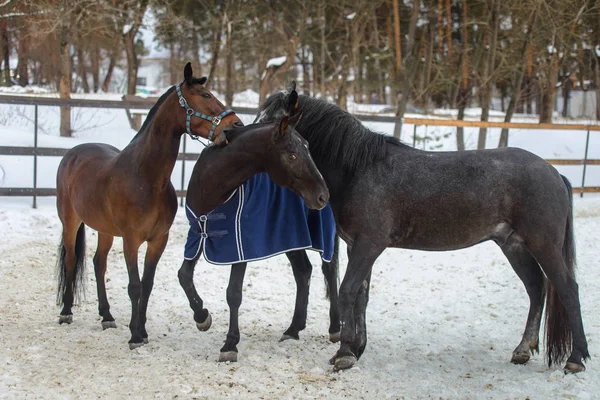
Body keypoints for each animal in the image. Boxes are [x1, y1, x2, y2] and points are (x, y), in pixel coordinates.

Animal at [55, 62, 241, 350]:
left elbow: (148, 283)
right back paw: (66, 312)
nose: (235, 125)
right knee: (71, 260)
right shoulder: (131, 240)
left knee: (99, 264)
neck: (146, 177)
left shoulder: (158, 240)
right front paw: (134, 335)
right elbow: (134, 286)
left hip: (105, 230)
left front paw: (142, 330)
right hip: (70, 222)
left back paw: (107, 316)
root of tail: (72, 154)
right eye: (206, 95)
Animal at [178, 90, 336, 362]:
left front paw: (230, 344)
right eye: (292, 154)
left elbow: (233, 293)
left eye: (307, 149)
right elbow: (184, 275)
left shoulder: (240, 246)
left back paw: (336, 328)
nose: (322, 196)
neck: (212, 185)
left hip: (321, 236)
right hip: (292, 236)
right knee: (303, 271)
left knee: (330, 269)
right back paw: (293, 329)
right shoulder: (197, 235)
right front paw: (202, 316)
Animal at [255, 86, 588, 374]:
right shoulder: (356, 246)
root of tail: (554, 173)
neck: (359, 170)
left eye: (274, 123)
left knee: (568, 289)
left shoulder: (368, 246)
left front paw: (345, 354)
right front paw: (357, 347)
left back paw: (576, 359)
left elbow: (347, 291)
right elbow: (361, 296)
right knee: (535, 288)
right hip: (513, 245)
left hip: (543, 245)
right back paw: (523, 350)